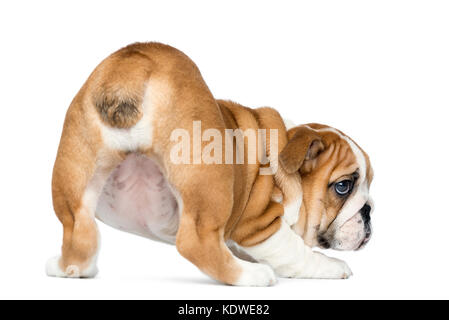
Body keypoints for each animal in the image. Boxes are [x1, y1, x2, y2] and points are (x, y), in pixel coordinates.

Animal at [47, 42, 372, 284]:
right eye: (343, 186)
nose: (369, 211)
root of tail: (134, 64)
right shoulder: (260, 224)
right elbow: (294, 252)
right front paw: (330, 267)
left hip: (77, 171)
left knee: (78, 229)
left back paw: (68, 267)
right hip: (210, 181)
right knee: (196, 241)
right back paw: (252, 275)